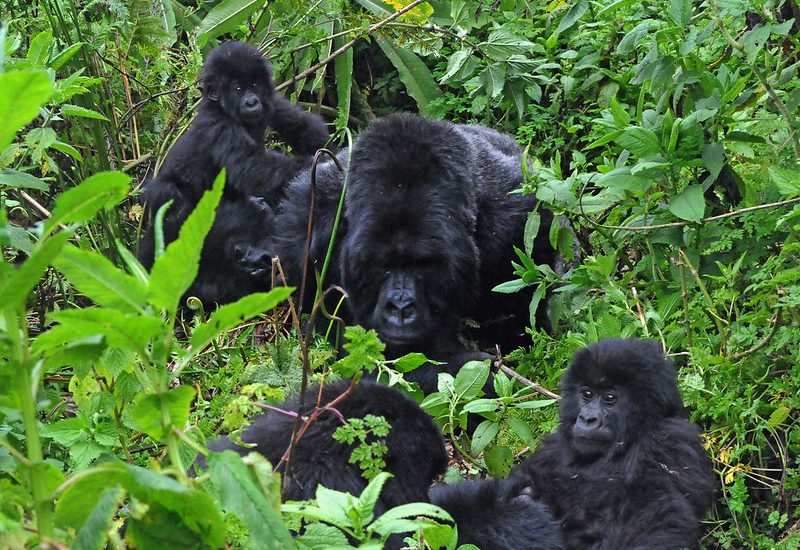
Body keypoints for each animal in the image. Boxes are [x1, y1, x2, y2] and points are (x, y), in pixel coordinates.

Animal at [510, 338, 716, 548]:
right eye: (586, 394)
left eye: (609, 398)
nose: (587, 419)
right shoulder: (553, 447)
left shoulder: (670, 439)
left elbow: (662, 518)